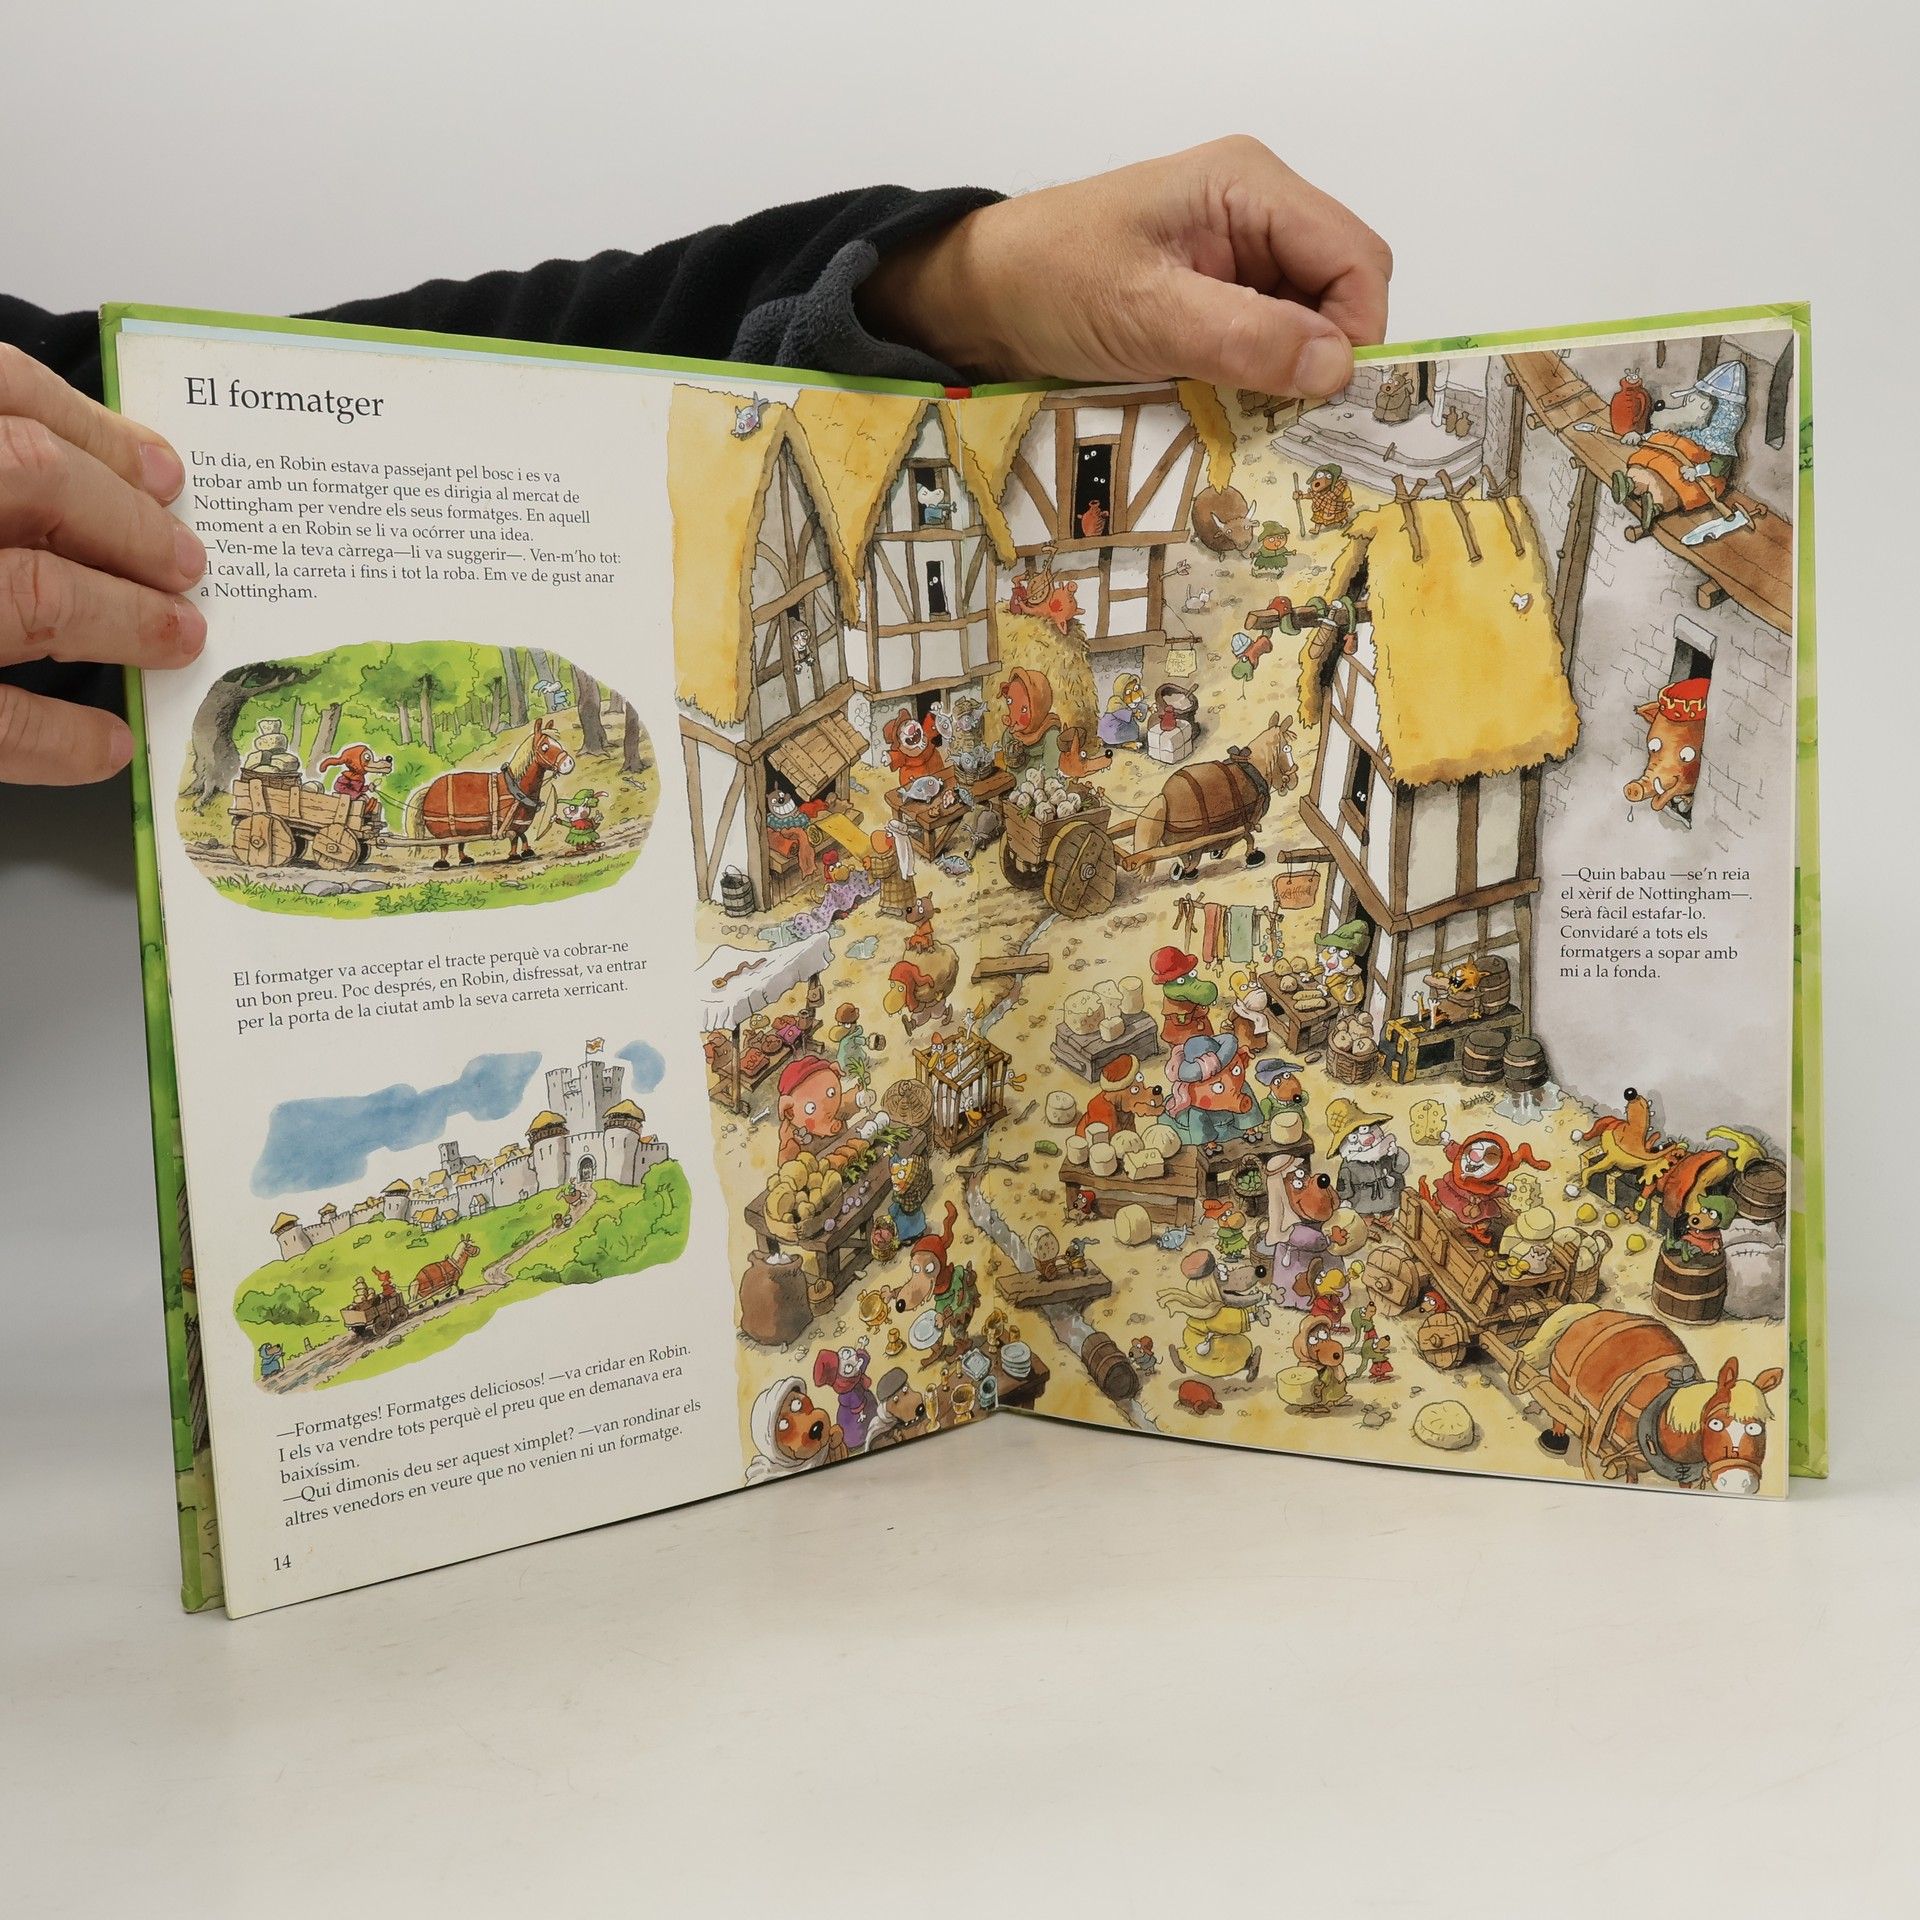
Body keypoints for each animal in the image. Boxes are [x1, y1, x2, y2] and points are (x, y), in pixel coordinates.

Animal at [406, 717, 575, 867]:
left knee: (460, 842)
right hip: (444, 830)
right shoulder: (509, 824)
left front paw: (527, 852)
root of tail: (429, 789)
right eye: (544, 747)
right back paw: (442, 864)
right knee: (444, 846)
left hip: (462, 828)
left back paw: (465, 860)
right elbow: (514, 838)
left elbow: (523, 836)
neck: (516, 786)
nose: (569, 763)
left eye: (557, 743)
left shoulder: (519, 822)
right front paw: (514, 857)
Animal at [1520, 1301, 1783, 1493]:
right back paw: (1555, 1441)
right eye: (1715, 1424)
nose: (1740, 1481)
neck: (1659, 1415)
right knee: (1558, 1415)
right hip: (1560, 1385)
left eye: (1758, 1427)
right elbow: (1631, 1479)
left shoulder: (1687, 1470)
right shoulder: (1631, 1463)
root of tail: (1586, 1315)